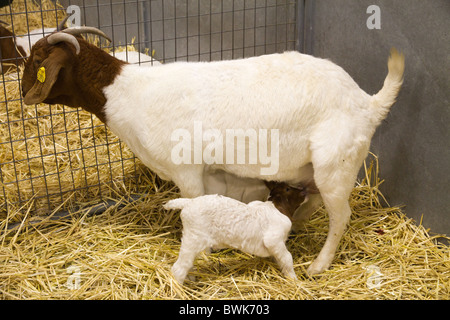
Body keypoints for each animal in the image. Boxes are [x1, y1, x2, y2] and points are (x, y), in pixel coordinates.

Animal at [21, 26, 404, 276]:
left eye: (38, 59)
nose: (23, 95)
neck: (128, 92)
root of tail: (367, 103)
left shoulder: (187, 169)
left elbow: (194, 204)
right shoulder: (213, 173)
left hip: (336, 165)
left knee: (341, 217)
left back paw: (318, 265)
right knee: (313, 203)